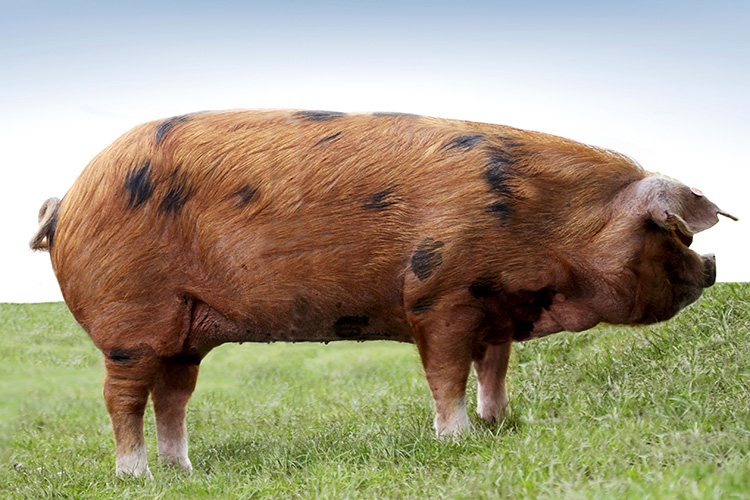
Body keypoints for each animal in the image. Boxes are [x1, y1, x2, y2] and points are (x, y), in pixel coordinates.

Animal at [30, 110, 736, 478]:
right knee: (122, 397)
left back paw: (184, 470)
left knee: (172, 397)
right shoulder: (440, 297)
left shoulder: (497, 310)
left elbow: (494, 367)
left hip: (186, 331)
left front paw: (499, 425)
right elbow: (447, 373)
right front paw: (455, 441)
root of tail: (67, 200)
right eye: (671, 233)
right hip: (131, 323)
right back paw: (136, 475)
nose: (712, 267)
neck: (552, 227)